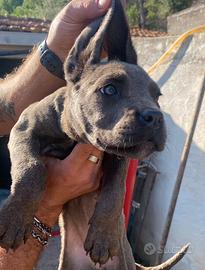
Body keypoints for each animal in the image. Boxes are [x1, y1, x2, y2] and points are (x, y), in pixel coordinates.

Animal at [0, 0, 189, 270]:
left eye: (157, 96)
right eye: (109, 89)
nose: (155, 116)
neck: (73, 138)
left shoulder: (119, 157)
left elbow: (115, 190)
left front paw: (104, 235)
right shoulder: (24, 129)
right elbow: (31, 170)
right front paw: (16, 218)